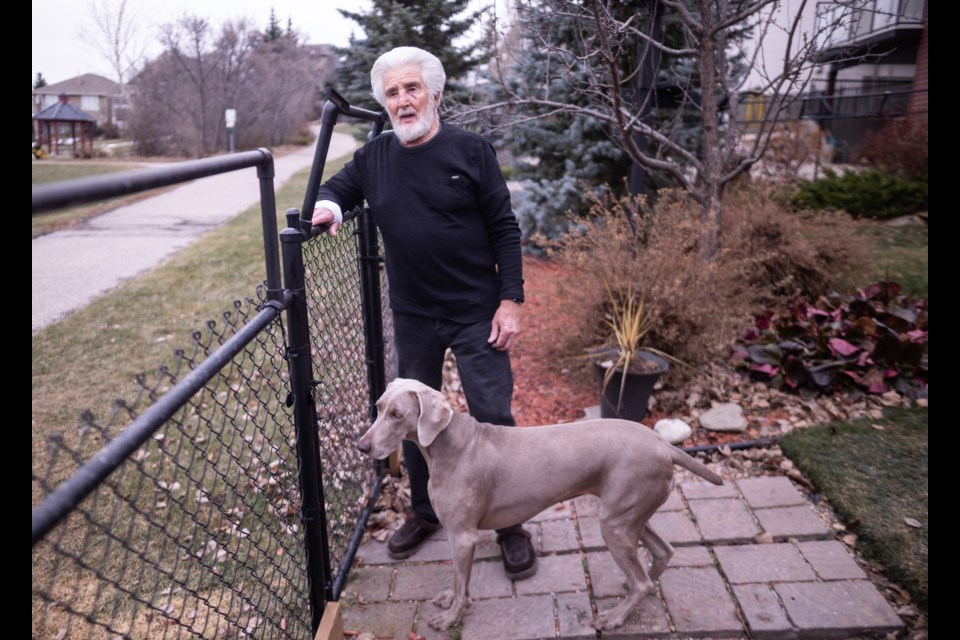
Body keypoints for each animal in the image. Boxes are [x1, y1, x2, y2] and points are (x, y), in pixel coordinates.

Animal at [356, 378, 724, 632]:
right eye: (378, 405)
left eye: (397, 414)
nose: (361, 447)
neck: (449, 445)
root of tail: (665, 445)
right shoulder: (458, 536)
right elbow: (460, 577)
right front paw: (449, 598)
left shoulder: (462, 535)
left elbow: (462, 581)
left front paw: (449, 618)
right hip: (630, 513)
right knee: (662, 552)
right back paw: (632, 588)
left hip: (616, 521)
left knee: (643, 579)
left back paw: (614, 616)